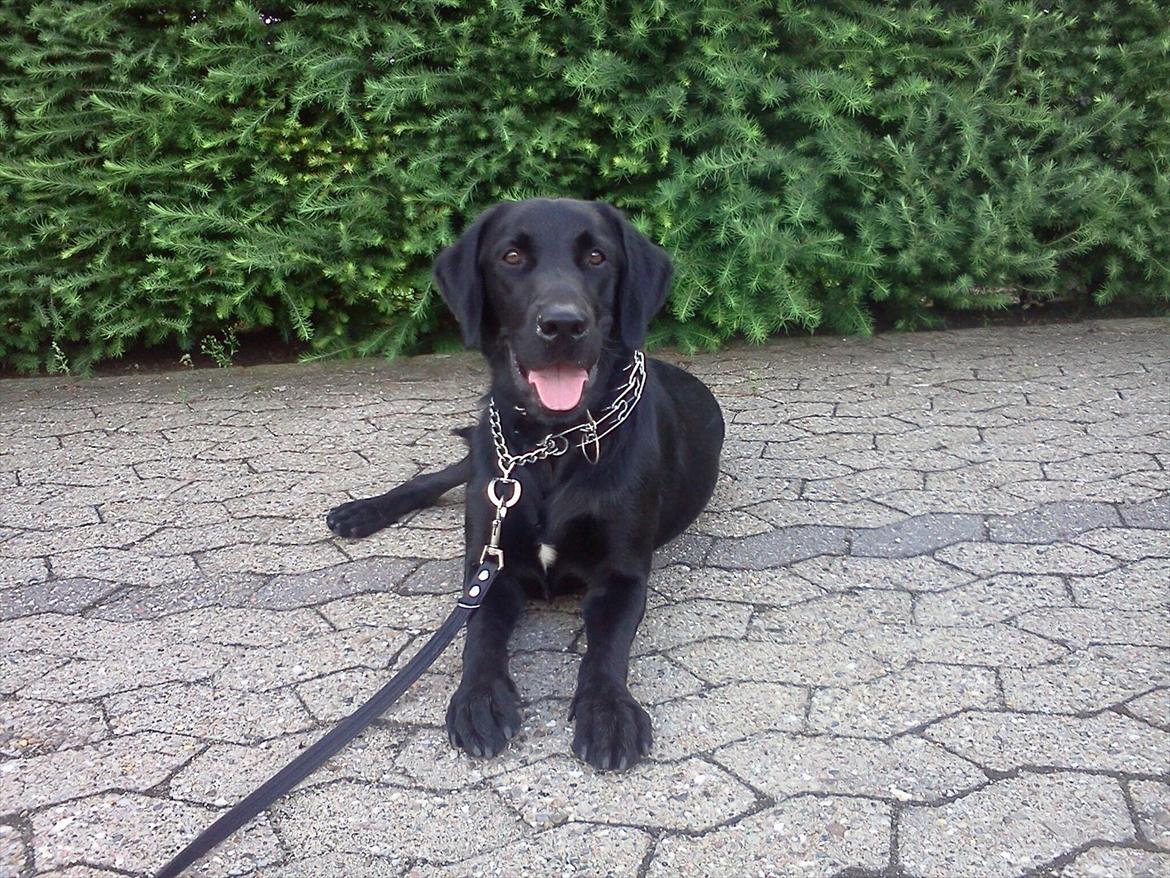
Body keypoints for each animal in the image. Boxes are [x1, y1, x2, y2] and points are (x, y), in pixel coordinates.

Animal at [327, 197, 720, 767]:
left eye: (597, 257)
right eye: (511, 256)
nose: (563, 325)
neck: (553, 444)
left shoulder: (622, 576)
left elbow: (606, 652)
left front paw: (609, 711)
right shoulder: (489, 567)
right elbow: (480, 636)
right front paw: (479, 698)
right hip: (486, 458)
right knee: (436, 476)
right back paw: (362, 512)